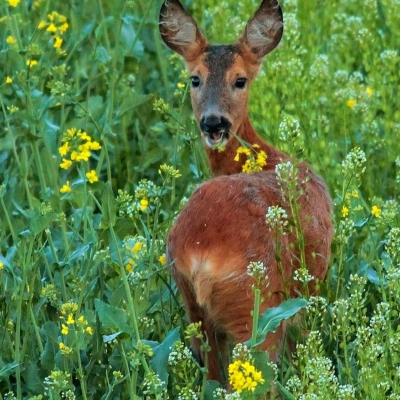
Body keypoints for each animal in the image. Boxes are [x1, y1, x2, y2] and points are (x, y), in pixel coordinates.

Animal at [160, 0, 334, 382]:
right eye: (195, 79)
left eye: (240, 80)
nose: (213, 123)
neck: (267, 158)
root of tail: (201, 255)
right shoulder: (307, 292)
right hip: (258, 307)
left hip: (195, 312)